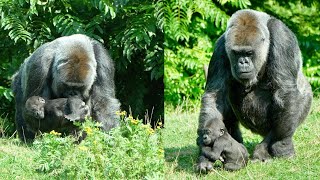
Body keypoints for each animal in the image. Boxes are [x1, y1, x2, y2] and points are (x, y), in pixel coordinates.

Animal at [196, 9, 312, 172]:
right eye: (237, 53)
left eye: (249, 53)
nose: (243, 62)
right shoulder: (220, 46)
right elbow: (215, 96)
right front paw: (204, 155)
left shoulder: (281, 36)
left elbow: (285, 90)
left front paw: (282, 145)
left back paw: (263, 150)